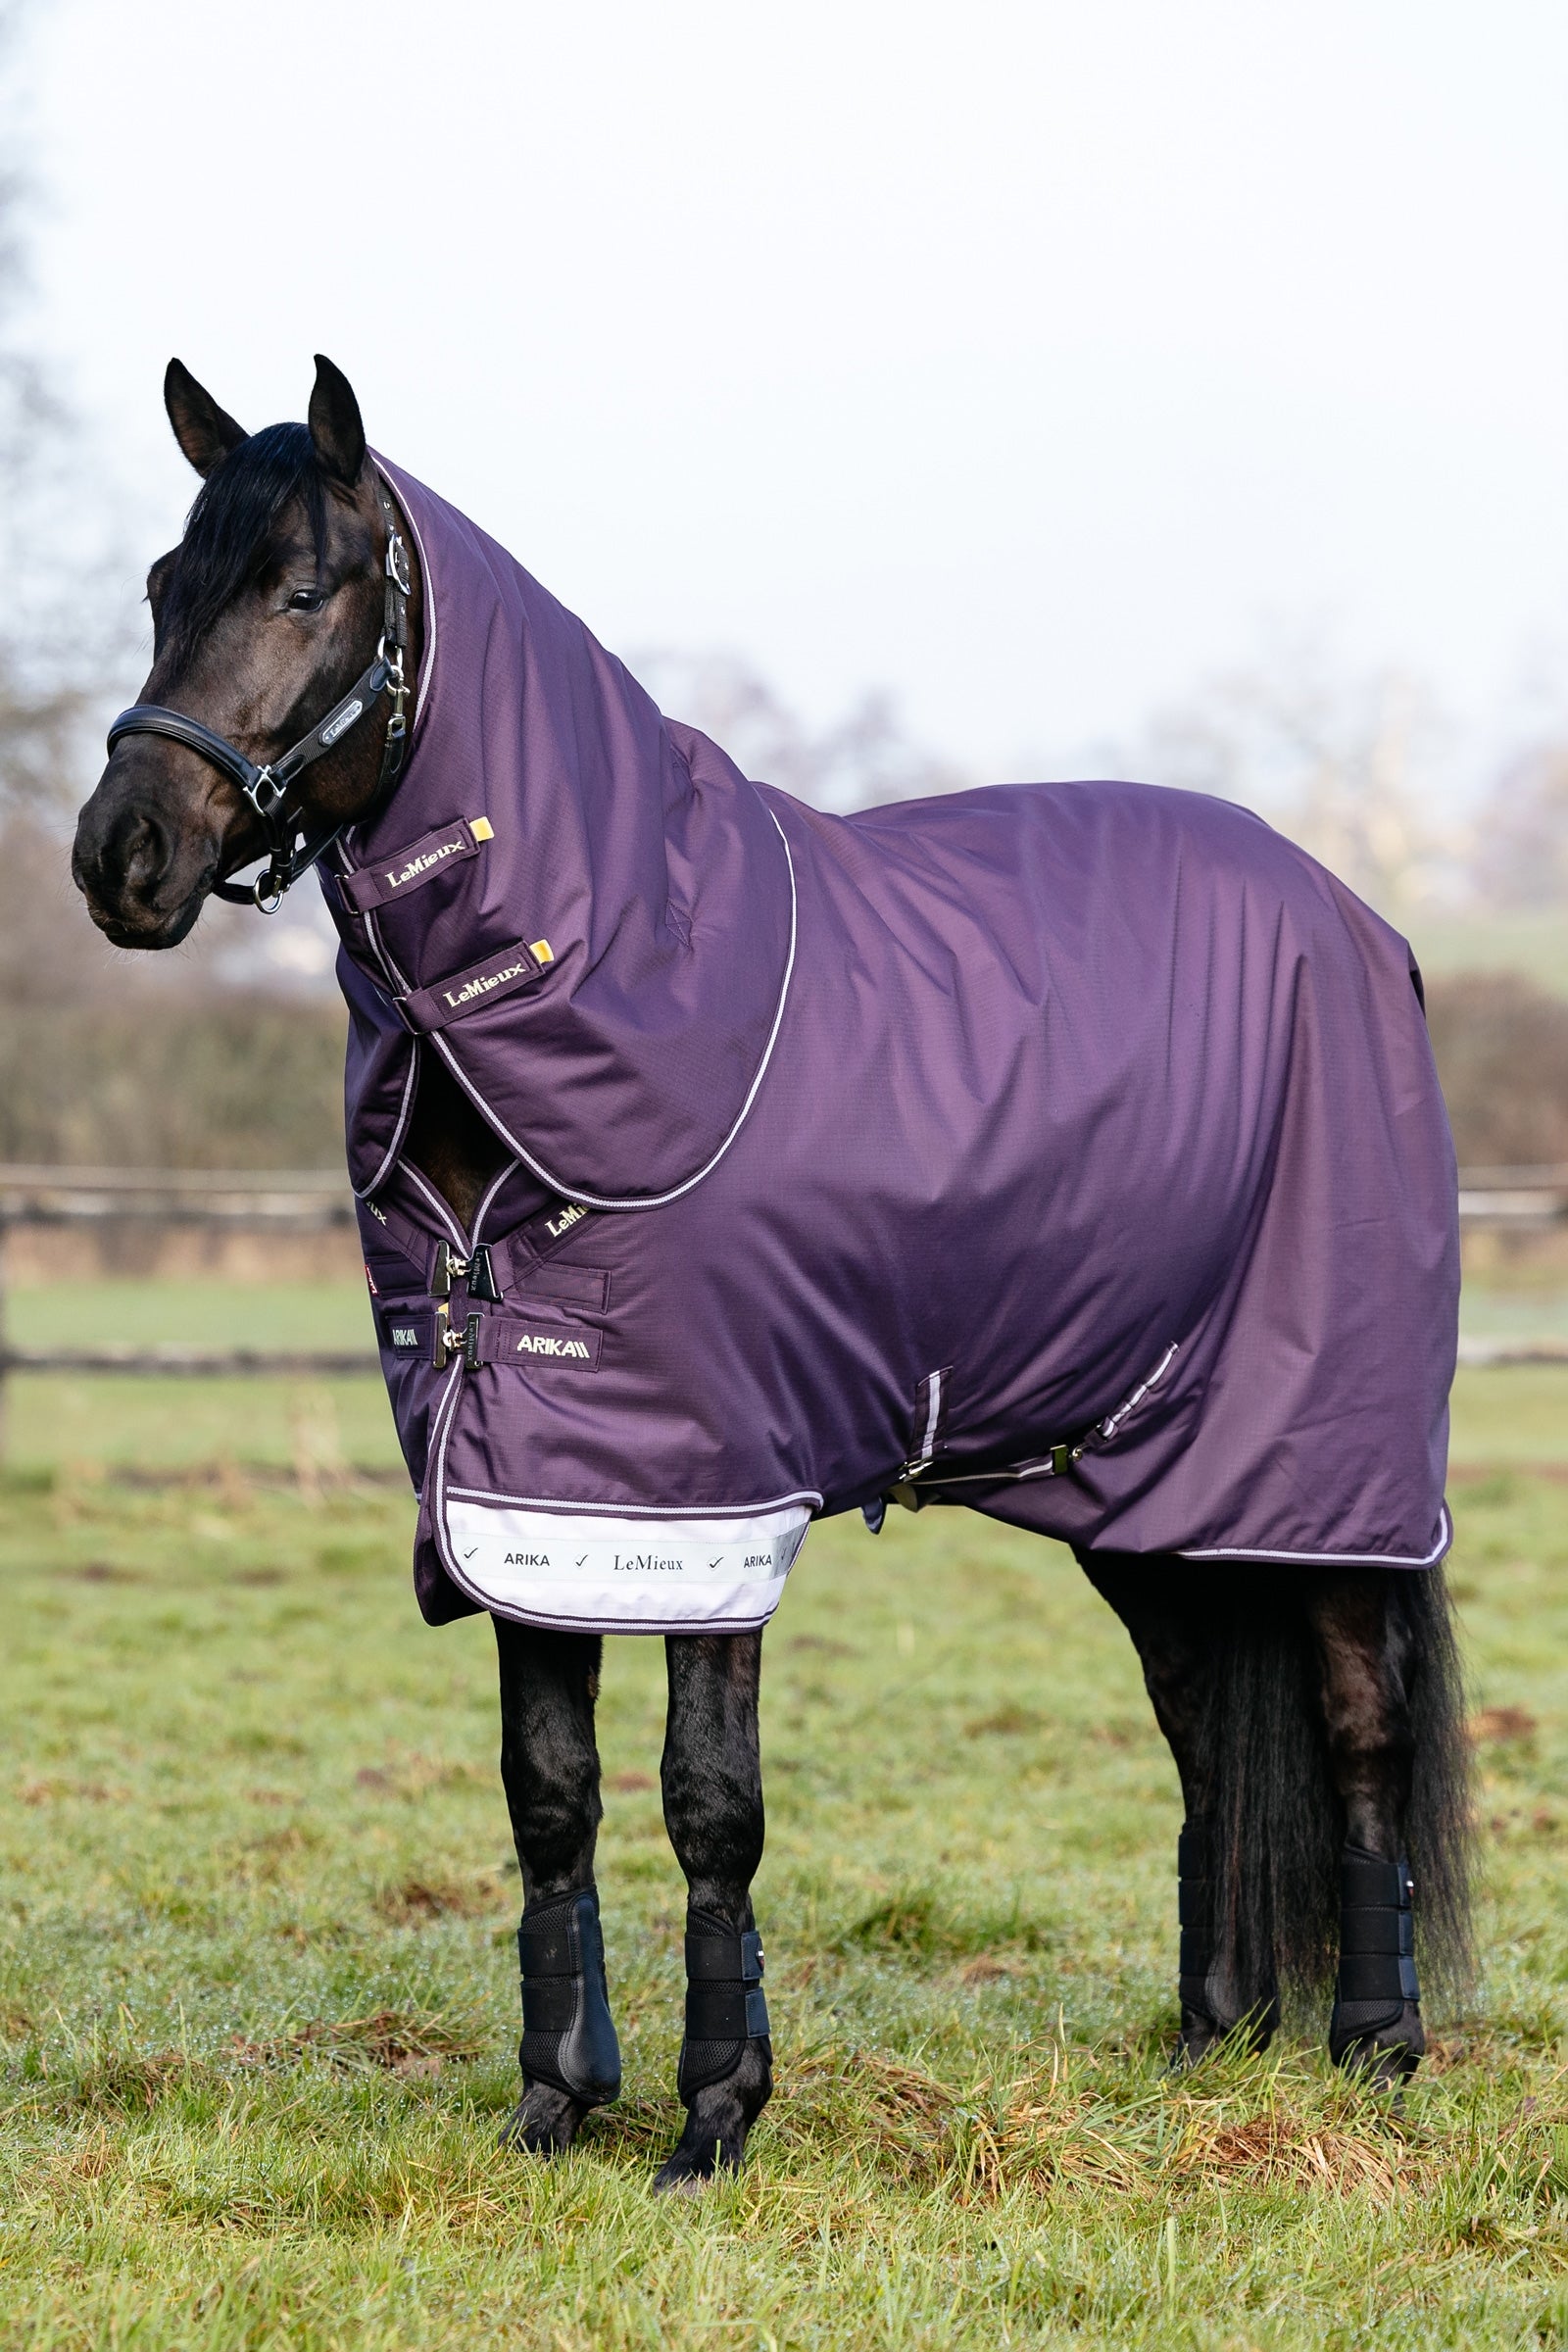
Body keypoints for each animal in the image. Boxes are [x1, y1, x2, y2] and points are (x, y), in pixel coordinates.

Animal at [72, 357, 1471, 2191]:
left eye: (305, 591)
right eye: (165, 587)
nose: (121, 857)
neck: (620, 982)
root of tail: (1367, 927)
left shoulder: (708, 1493)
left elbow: (708, 1803)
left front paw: (713, 2116)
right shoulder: (521, 1482)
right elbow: (548, 1790)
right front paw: (556, 2102)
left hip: (1328, 1468)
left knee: (1361, 1719)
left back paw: (1378, 2048)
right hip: (1156, 1485)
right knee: (1202, 1728)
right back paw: (1209, 2038)